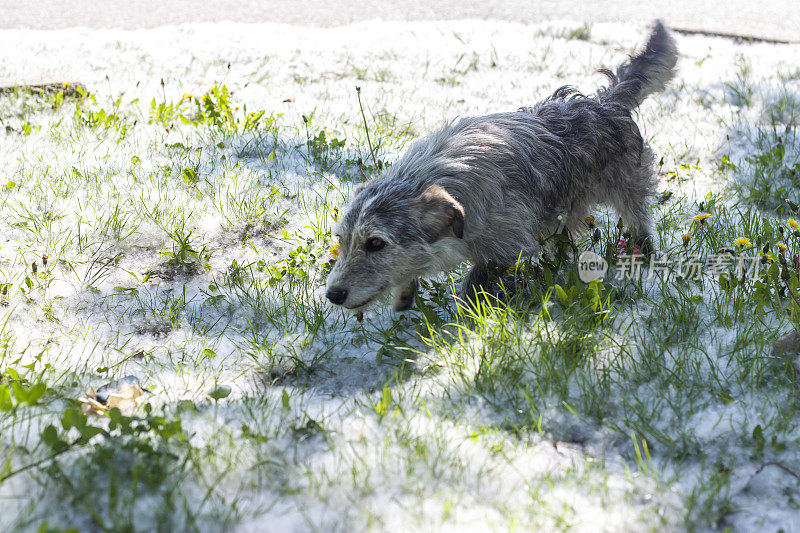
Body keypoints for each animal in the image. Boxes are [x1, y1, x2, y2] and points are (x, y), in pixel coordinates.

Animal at [324, 19, 676, 312]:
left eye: (375, 243)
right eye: (341, 239)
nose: (333, 294)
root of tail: (604, 101)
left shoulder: (507, 245)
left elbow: (476, 279)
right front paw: (405, 292)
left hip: (627, 188)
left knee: (639, 217)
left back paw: (642, 252)